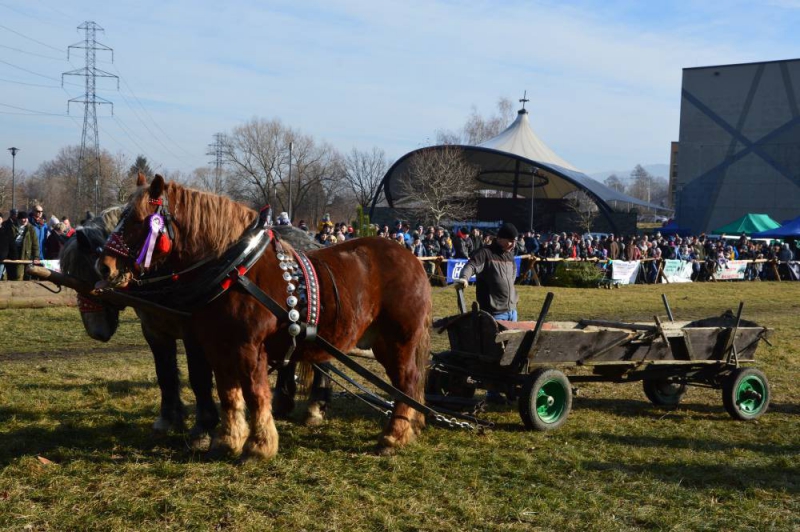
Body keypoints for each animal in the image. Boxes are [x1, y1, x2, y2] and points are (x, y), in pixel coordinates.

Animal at [97, 177, 432, 460]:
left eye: (139, 220)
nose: (104, 266)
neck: (234, 269)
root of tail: (413, 259)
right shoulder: (218, 346)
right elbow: (229, 394)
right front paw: (227, 440)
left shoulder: (249, 348)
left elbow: (255, 394)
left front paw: (258, 446)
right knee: (410, 384)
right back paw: (410, 426)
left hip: (397, 342)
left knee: (406, 382)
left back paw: (393, 436)